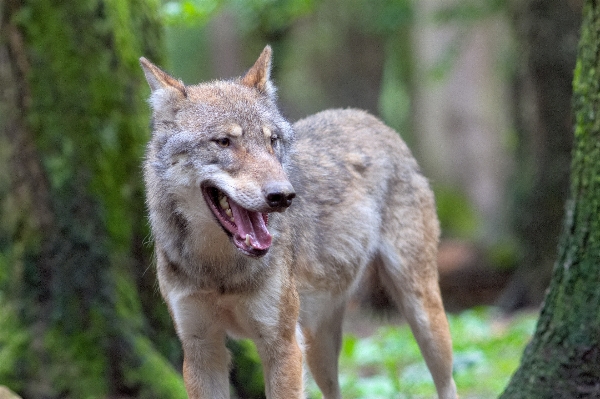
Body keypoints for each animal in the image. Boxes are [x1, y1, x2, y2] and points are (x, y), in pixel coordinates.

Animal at [141, 45, 458, 398]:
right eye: (224, 141)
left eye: (272, 140)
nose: (283, 195)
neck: (219, 270)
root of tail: (368, 118)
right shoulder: (201, 349)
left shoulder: (281, 345)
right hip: (318, 344)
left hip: (424, 317)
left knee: (449, 383)